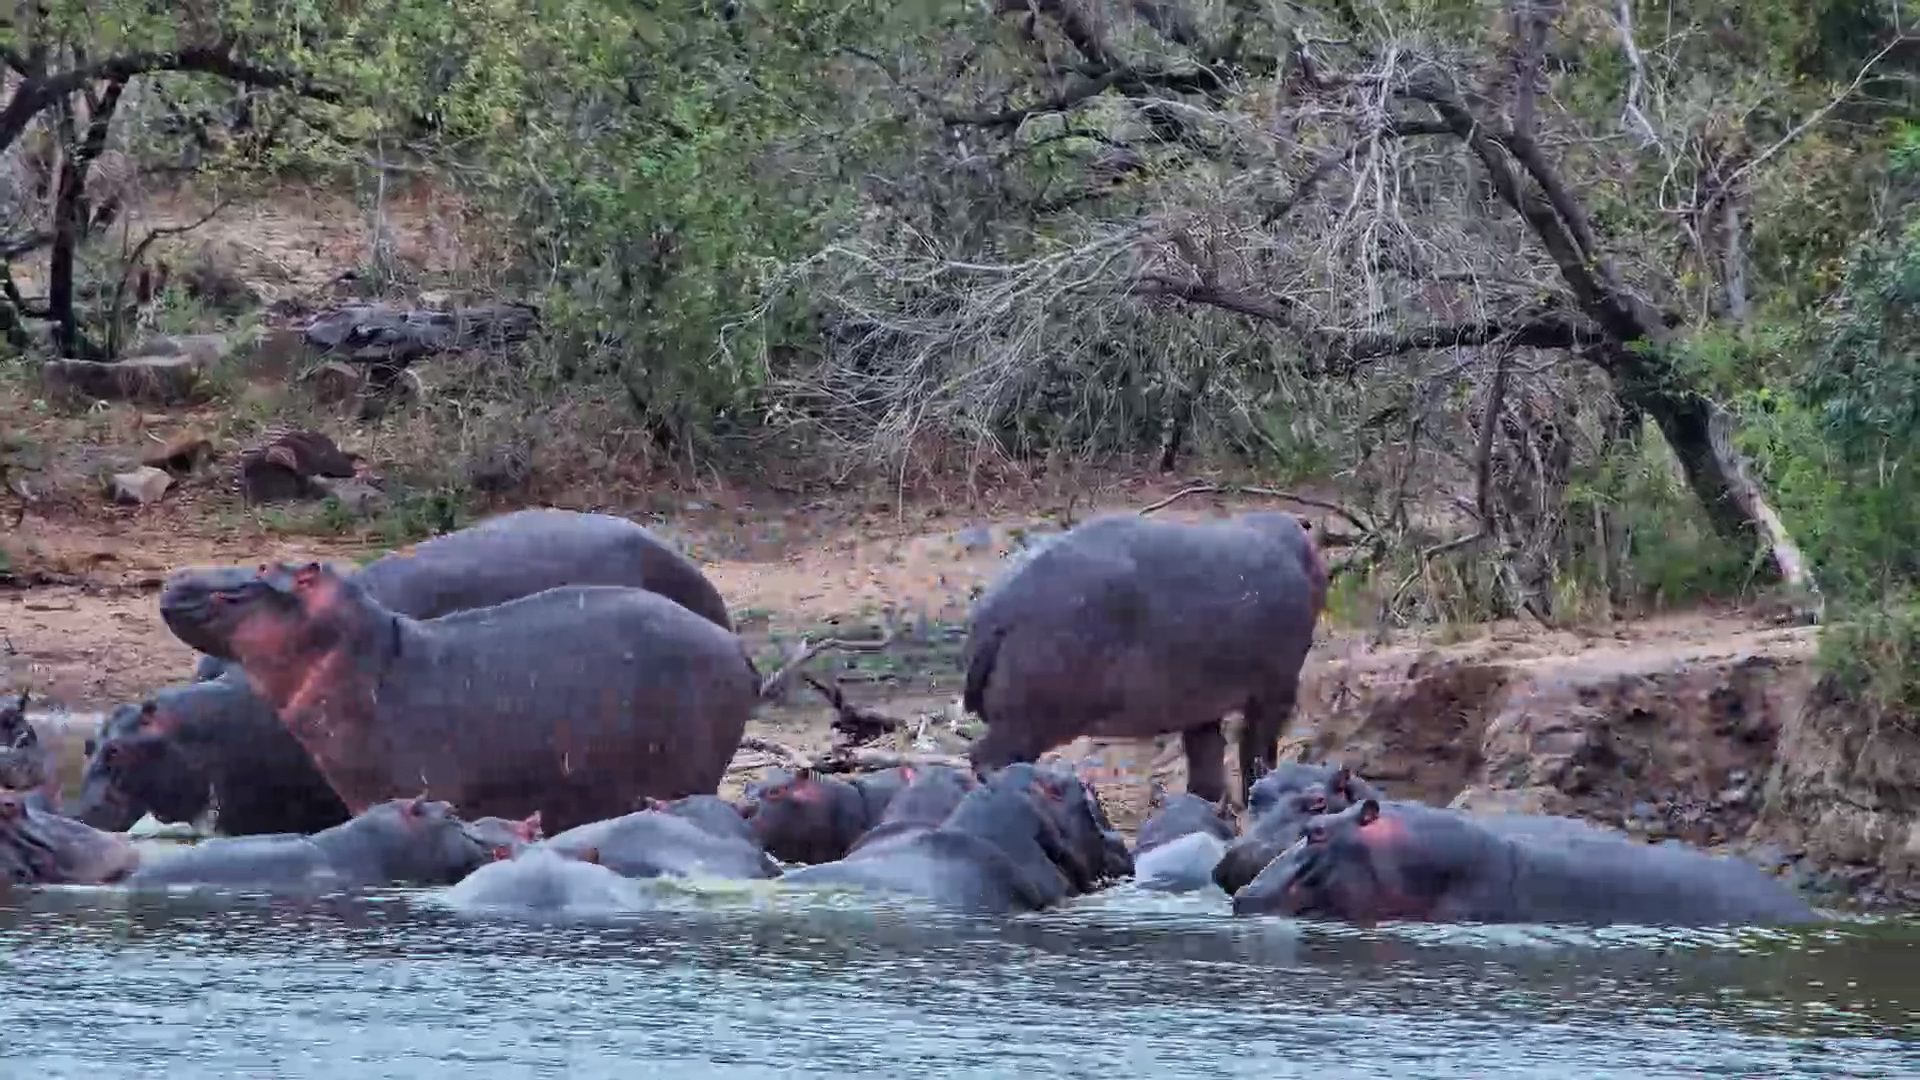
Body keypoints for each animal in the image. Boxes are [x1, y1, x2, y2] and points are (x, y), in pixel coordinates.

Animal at [961, 511, 1327, 805]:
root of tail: (996, 612)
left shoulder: (1201, 704)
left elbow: (1208, 766)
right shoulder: (1273, 691)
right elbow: (1254, 751)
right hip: (1033, 717)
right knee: (988, 757)